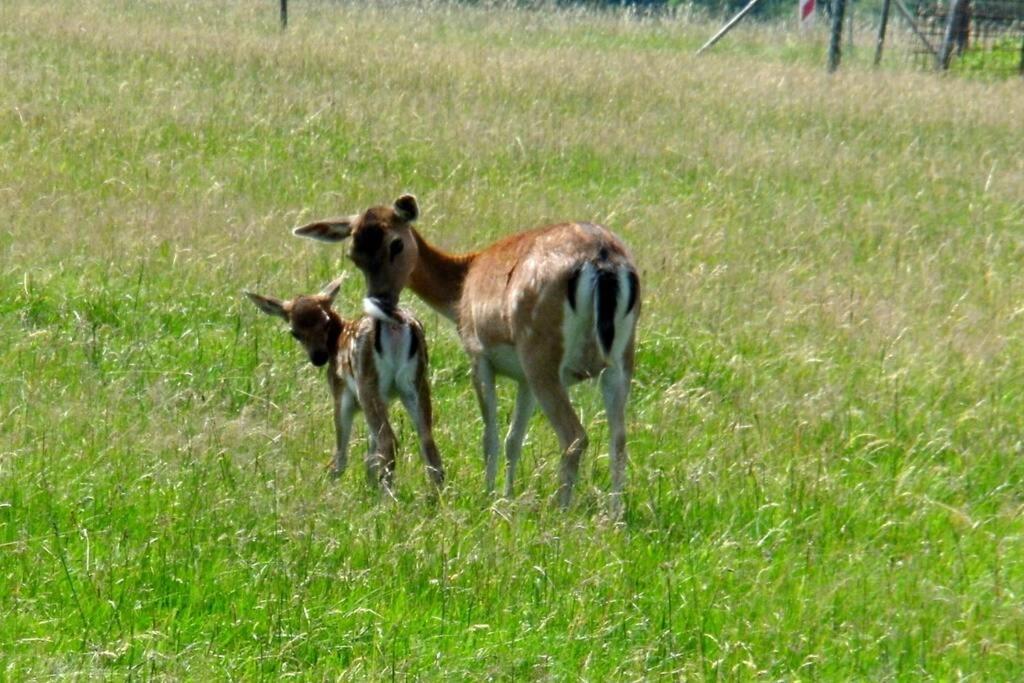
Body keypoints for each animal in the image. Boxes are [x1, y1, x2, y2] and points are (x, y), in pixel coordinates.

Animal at [292, 194, 634, 509]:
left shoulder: (477, 352)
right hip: (618, 358)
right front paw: (506, 496)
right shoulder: (522, 375)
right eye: (353, 255)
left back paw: (561, 511)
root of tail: (603, 260)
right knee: (619, 438)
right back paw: (614, 516)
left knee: (574, 436)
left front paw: (488, 496)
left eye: (396, 244)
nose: (381, 302)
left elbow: (490, 435)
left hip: (542, 353)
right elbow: (514, 438)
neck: (460, 288)